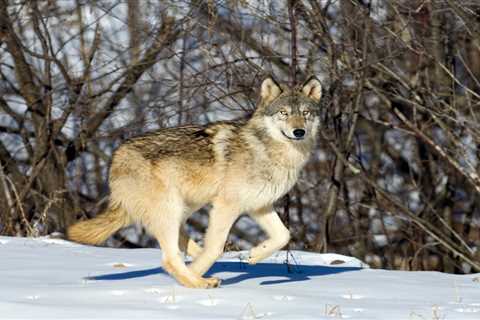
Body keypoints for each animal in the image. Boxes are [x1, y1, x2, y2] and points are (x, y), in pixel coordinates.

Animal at [67, 76, 322, 288]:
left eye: (306, 113)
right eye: (284, 113)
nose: (299, 132)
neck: (268, 151)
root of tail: (116, 158)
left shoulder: (259, 206)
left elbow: (283, 235)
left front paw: (255, 255)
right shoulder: (226, 206)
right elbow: (216, 247)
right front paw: (200, 272)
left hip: (185, 206)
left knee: (181, 240)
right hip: (171, 208)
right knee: (169, 258)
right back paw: (199, 281)